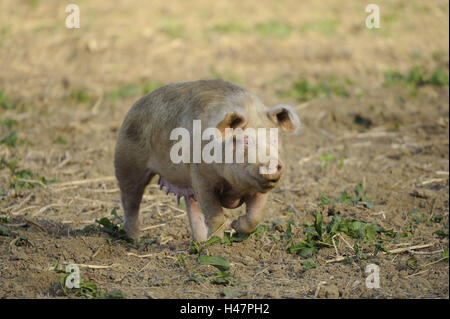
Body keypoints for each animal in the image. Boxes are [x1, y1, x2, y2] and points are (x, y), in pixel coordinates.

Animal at [114, 79, 300, 242]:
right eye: (246, 141)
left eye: (275, 140)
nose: (271, 163)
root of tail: (136, 104)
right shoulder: (201, 177)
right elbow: (215, 215)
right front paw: (218, 243)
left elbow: (255, 216)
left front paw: (235, 226)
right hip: (127, 162)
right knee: (130, 201)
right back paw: (136, 240)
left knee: (192, 207)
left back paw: (200, 242)